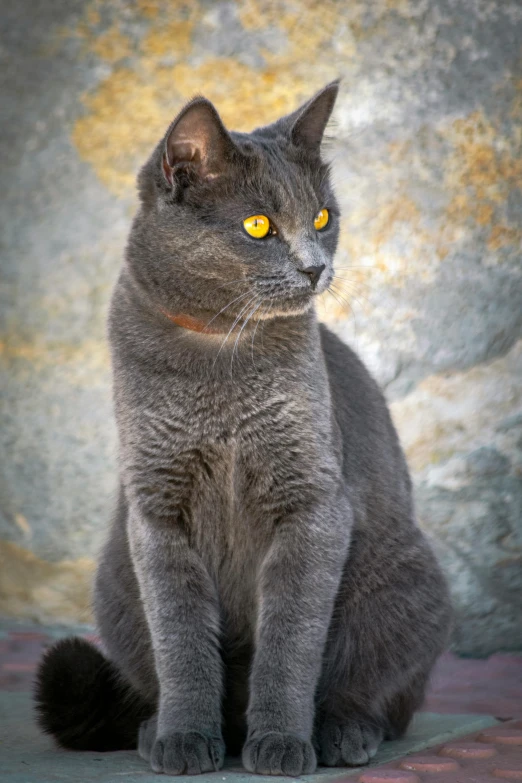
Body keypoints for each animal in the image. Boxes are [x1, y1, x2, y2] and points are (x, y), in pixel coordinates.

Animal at [34, 84, 448, 776]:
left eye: (323, 217)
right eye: (259, 225)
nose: (314, 267)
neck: (221, 352)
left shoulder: (312, 503)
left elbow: (291, 639)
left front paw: (281, 742)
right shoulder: (156, 509)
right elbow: (180, 639)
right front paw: (183, 738)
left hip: (406, 584)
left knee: (382, 695)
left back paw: (341, 733)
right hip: (115, 583)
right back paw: (161, 729)